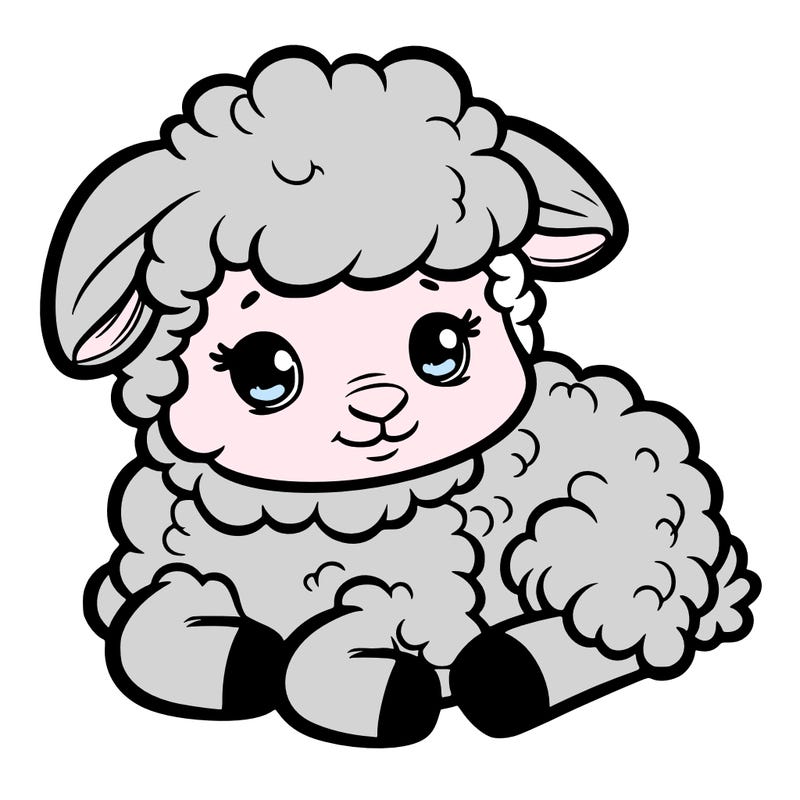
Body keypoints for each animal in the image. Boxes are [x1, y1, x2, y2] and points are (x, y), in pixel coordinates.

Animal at [41, 46, 760, 746]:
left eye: (441, 347)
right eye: (262, 371)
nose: (379, 405)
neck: (320, 514)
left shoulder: (421, 595)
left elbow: (347, 643)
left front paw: (380, 689)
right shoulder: (169, 569)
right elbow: (151, 627)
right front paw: (232, 656)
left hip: (602, 532)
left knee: (620, 622)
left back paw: (513, 669)